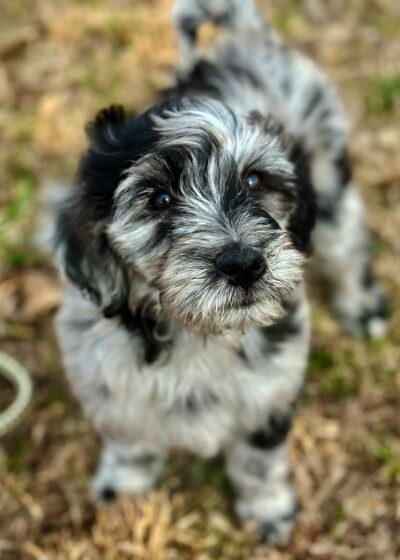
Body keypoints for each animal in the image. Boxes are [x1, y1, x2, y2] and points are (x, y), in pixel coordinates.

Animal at [54, 0, 390, 544]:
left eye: (254, 181)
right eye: (158, 199)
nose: (244, 264)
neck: (198, 333)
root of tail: (248, 40)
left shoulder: (271, 392)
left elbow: (258, 461)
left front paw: (268, 512)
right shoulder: (112, 387)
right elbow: (130, 442)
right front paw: (124, 491)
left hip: (331, 179)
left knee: (346, 241)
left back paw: (362, 308)